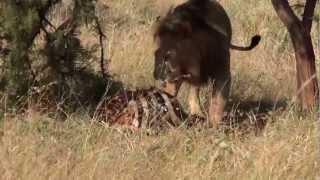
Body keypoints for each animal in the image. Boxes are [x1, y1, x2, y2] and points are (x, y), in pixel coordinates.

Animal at [152, 0, 260, 128]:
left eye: (168, 55)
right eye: (156, 54)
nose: (156, 75)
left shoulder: (222, 73)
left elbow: (218, 102)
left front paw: (214, 126)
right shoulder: (174, 78)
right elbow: (169, 96)